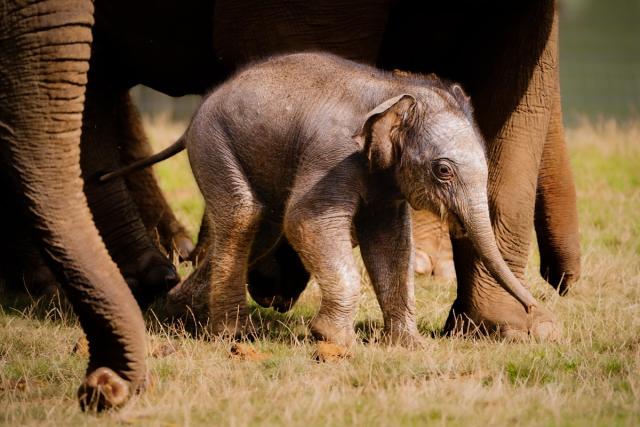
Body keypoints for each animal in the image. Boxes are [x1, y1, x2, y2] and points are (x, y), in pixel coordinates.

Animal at [105, 53, 536, 348]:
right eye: (443, 170)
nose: (534, 308)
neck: (392, 92)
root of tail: (197, 113)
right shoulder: (332, 155)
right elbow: (306, 220)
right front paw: (332, 339)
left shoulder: (383, 182)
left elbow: (391, 243)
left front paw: (408, 345)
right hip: (215, 144)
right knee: (245, 216)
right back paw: (231, 333)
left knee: (263, 228)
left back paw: (174, 315)